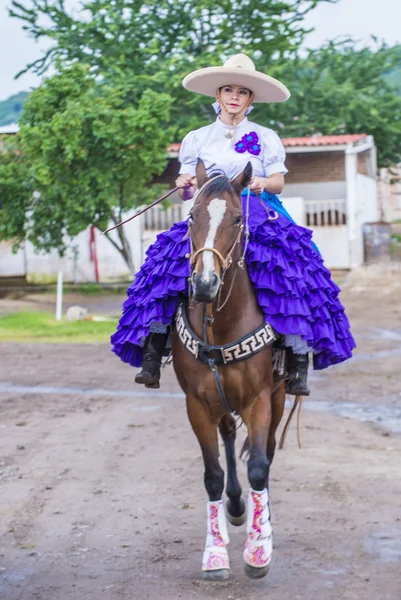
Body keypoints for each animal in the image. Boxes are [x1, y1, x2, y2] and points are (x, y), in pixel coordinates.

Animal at [170, 157, 286, 580]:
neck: (221, 324)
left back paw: (260, 520)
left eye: (237, 218)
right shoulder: (197, 405)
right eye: (191, 217)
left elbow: (259, 467)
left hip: (279, 396)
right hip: (221, 402)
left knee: (267, 452)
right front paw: (215, 554)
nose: (204, 283)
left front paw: (258, 551)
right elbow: (213, 474)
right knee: (229, 439)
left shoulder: (259, 399)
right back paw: (236, 508)